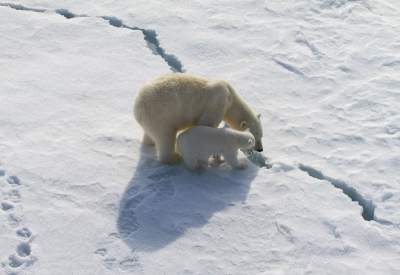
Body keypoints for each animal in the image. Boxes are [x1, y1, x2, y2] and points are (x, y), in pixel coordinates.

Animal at [134, 73, 262, 164]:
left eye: (261, 135)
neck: (231, 98)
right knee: (165, 136)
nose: (260, 149)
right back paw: (175, 158)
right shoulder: (217, 103)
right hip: (161, 115)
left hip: (151, 119)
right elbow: (206, 123)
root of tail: (138, 106)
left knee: (150, 135)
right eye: (256, 137)